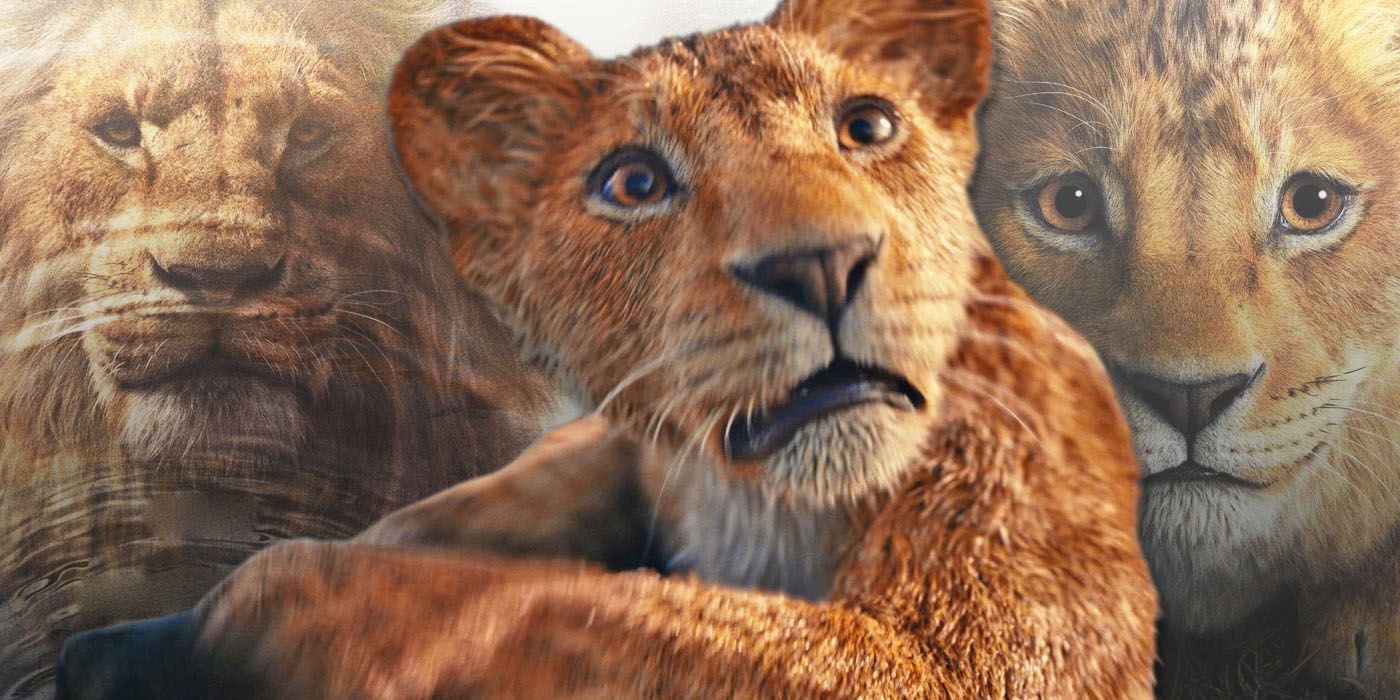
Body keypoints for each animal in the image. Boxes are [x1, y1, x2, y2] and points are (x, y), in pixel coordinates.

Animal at [57, 0, 1159, 697]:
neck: (759, 505)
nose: (821, 265)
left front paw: (216, 626)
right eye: (634, 182)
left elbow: (535, 605)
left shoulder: (978, 649)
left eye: (867, 125)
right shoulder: (598, 455)